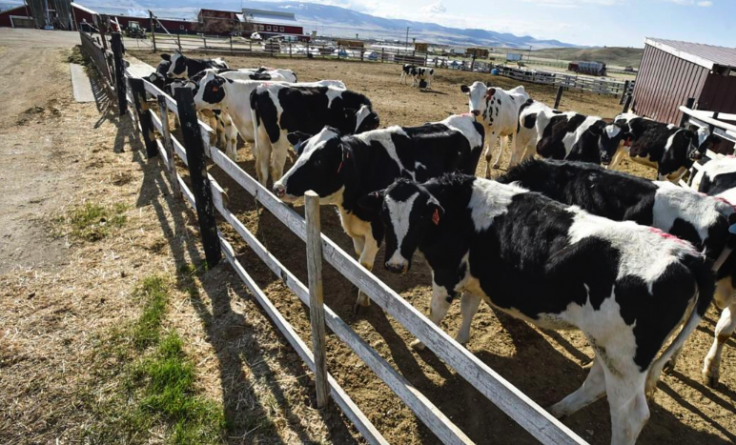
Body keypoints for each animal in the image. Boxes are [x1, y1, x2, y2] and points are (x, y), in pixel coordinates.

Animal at [252, 81, 380, 184]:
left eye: (367, 125)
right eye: (356, 121)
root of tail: (260, 90)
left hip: (262, 137)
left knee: (263, 170)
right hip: (280, 140)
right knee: (276, 169)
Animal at [270, 114, 484, 306]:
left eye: (319, 161)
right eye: (300, 152)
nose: (278, 187)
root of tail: (469, 119)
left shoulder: (377, 228)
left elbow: (365, 265)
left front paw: (362, 299)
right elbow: (358, 259)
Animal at [362, 173, 712, 444]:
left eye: (419, 218)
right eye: (385, 215)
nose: (394, 266)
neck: (458, 209)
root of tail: (685, 254)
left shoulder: (446, 275)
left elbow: (433, 317)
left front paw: (426, 343)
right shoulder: (474, 279)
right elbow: (468, 309)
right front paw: (459, 343)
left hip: (624, 356)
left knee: (630, 416)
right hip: (611, 349)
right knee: (598, 382)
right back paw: (559, 409)